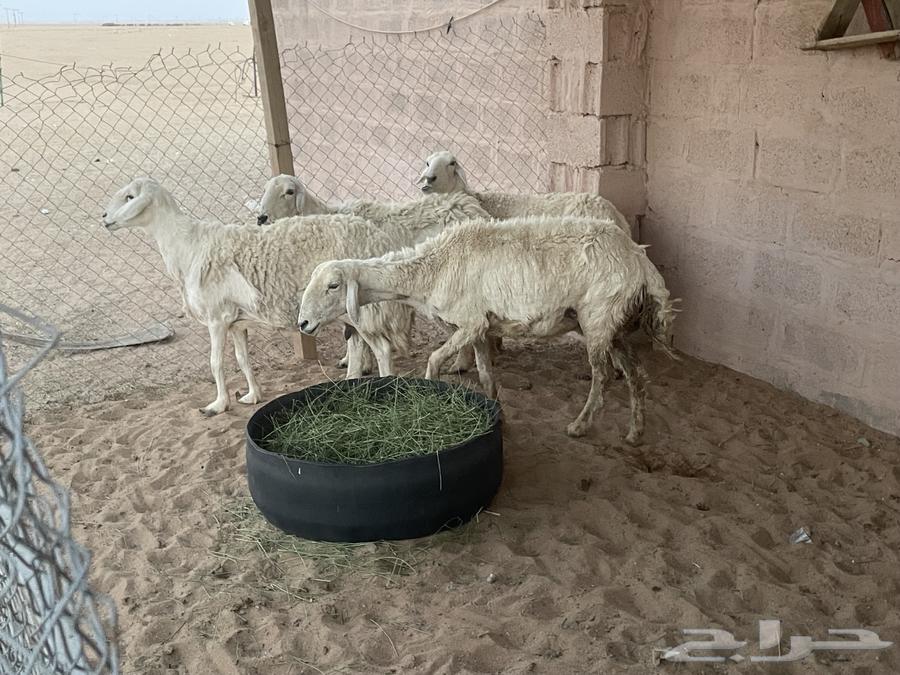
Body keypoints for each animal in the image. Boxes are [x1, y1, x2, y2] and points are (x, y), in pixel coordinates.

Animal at [101, 177, 413, 416]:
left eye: (130, 196)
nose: (103, 217)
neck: (187, 246)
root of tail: (377, 238)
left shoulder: (216, 318)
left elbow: (215, 363)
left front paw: (217, 405)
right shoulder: (235, 322)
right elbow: (242, 359)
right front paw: (252, 395)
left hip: (363, 307)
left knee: (382, 349)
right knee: (360, 346)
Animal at [297, 215, 678, 443]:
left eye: (333, 285)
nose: (303, 323)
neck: (430, 271)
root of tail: (639, 259)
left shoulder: (470, 321)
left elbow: (433, 360)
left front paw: (429, 399)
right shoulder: (481, 326)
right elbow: (484, 374)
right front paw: (498, 415)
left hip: (598, 315)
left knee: (603, 376)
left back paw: (580, 425)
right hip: (614, 323)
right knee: (636, 374)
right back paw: (635, 432)